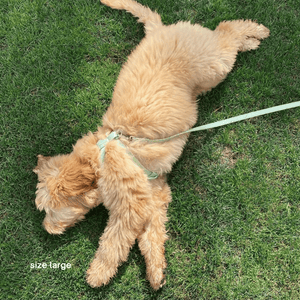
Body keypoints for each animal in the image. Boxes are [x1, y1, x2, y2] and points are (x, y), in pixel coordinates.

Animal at [32, 0, 270, 290]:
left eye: (49, 209)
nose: (46, 229)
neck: (101, 156)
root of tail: (159, 30)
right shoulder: (154, 193)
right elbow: (152, 234)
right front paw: (157, 271)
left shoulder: (131, 207)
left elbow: (113, 241)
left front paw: (98, 272)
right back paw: (251, 41)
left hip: (215, 66)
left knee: (227, 30)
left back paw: (257, 32)